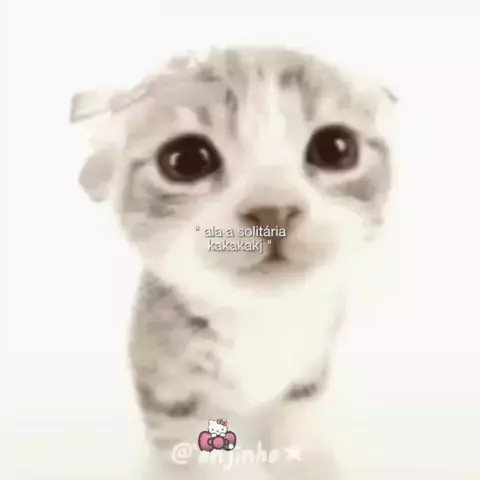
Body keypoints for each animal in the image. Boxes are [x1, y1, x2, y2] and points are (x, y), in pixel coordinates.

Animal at [71, 46, 396, 479]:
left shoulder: (311, 367)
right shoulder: (167, 385)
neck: (260, 320)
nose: (274, 209)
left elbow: (300, 421)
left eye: (336, 148)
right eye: (186, 160)